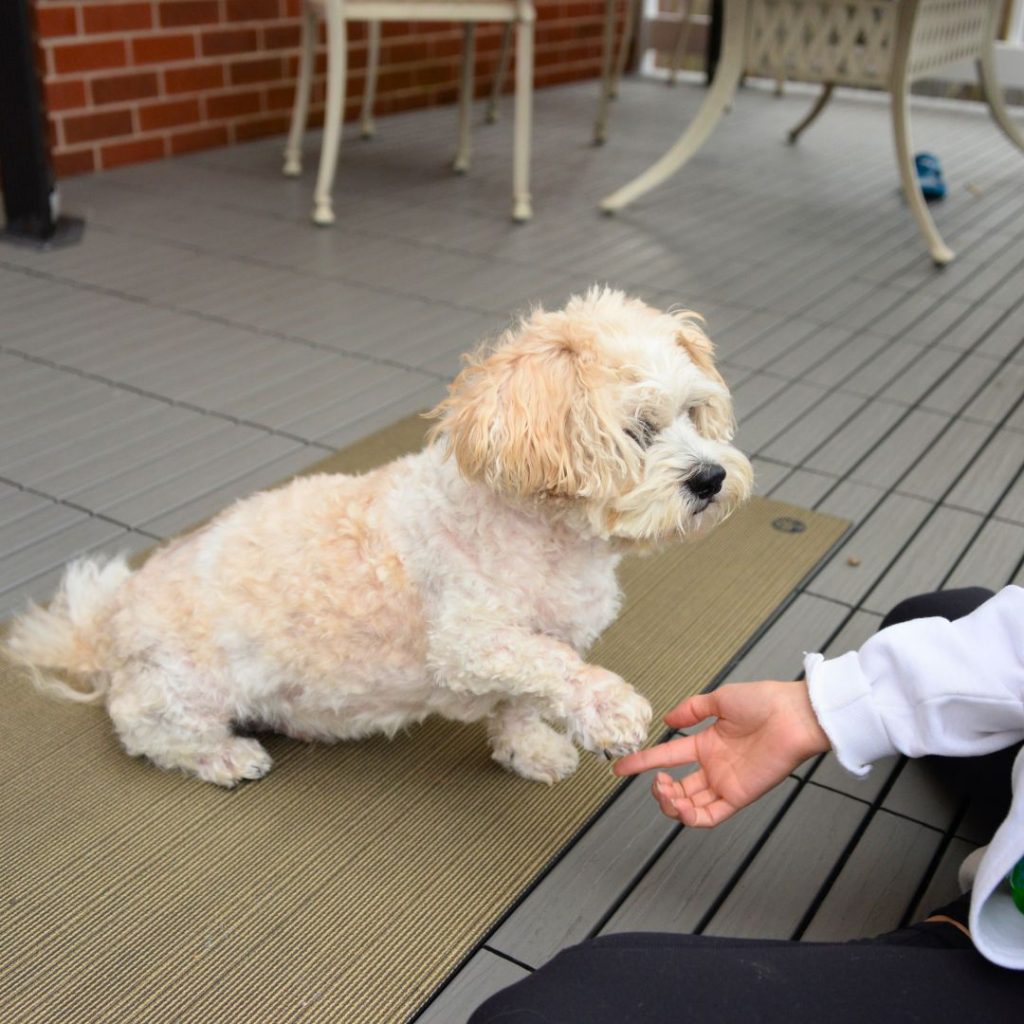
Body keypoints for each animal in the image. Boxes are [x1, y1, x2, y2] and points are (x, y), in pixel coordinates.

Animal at [2, 286, 753, 782]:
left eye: (694, 413)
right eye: (639, 431)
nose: (712, 477)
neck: (547, 537)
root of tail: (104, 630)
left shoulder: (538, 640)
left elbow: (523, 697)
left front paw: (530, 748)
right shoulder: (472, 641)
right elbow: (550, 667)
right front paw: (609, 710)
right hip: (179, 692)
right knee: (147, 732)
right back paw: (225, 755)